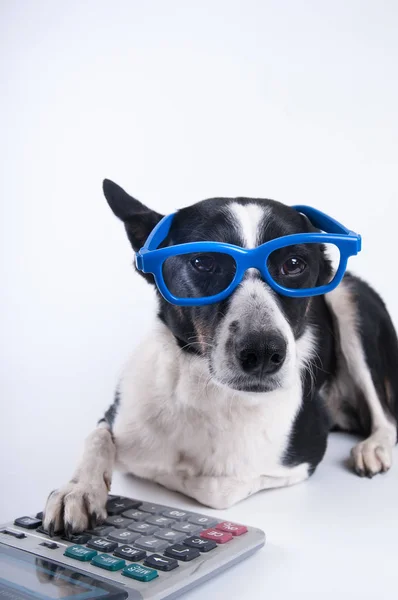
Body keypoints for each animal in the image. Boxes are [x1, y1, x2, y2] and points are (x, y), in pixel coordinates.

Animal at [43, 179, 398, 536]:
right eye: (202, 262)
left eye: (294, 264)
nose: (263, 353)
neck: (207, 391)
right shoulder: (118, 412)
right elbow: (97, 437)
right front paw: (79, 489)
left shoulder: (299, 456)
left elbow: (212, 486)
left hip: (349, 297)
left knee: (387, 418)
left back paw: (373, 447)